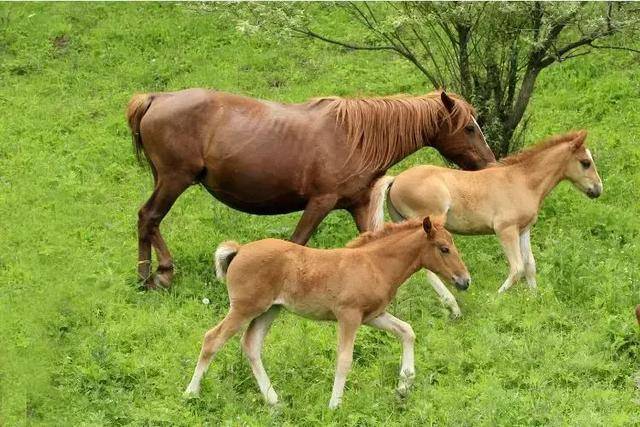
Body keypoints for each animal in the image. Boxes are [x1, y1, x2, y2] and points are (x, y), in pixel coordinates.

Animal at [126, 88, 496, 290]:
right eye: (469, 128)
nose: (489, 163)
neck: (356, 137)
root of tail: (156, 98)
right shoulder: (320, 203)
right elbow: (298, 243)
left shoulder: (359, 205)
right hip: (174, 180)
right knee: (148, 217)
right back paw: (153, 276)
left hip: (167, 180)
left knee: (150, 221)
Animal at [185, 219, 470, 410]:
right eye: (444, 248)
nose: (465, 281)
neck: (374, 264)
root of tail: (239, 250)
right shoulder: (349, 316)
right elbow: (344, 360)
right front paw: (334, 405)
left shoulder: (373, 315)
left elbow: (407, 331)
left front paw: (403, 386)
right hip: (245, 308)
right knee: (212, 339)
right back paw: (191, 393)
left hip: (269, 309)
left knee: (251, 344)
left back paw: (274, 401)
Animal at [368, 130, 604, 314]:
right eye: (585, 163)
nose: (598, 190)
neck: (523, 181)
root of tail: (396, 179)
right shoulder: (505, 230)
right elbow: (517, 268)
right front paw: (494, 300)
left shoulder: (523, 230)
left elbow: (530, 265)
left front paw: (534, 300)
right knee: (427, 268)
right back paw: (453, 306)